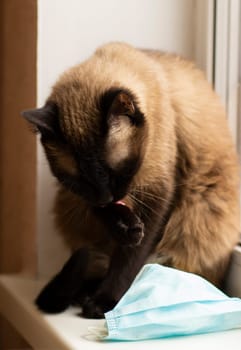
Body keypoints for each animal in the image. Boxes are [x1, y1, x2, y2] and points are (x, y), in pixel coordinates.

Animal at [22, 42, 239, 318]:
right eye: (77, 181)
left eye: (114, 172)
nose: (105, 197)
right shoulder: (87, 198)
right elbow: (110, 222)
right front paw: (124, 229)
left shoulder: (157, 193)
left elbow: (130, 259)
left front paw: (104, 302)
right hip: (68, 205)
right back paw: (83, 291)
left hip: (198, 213)